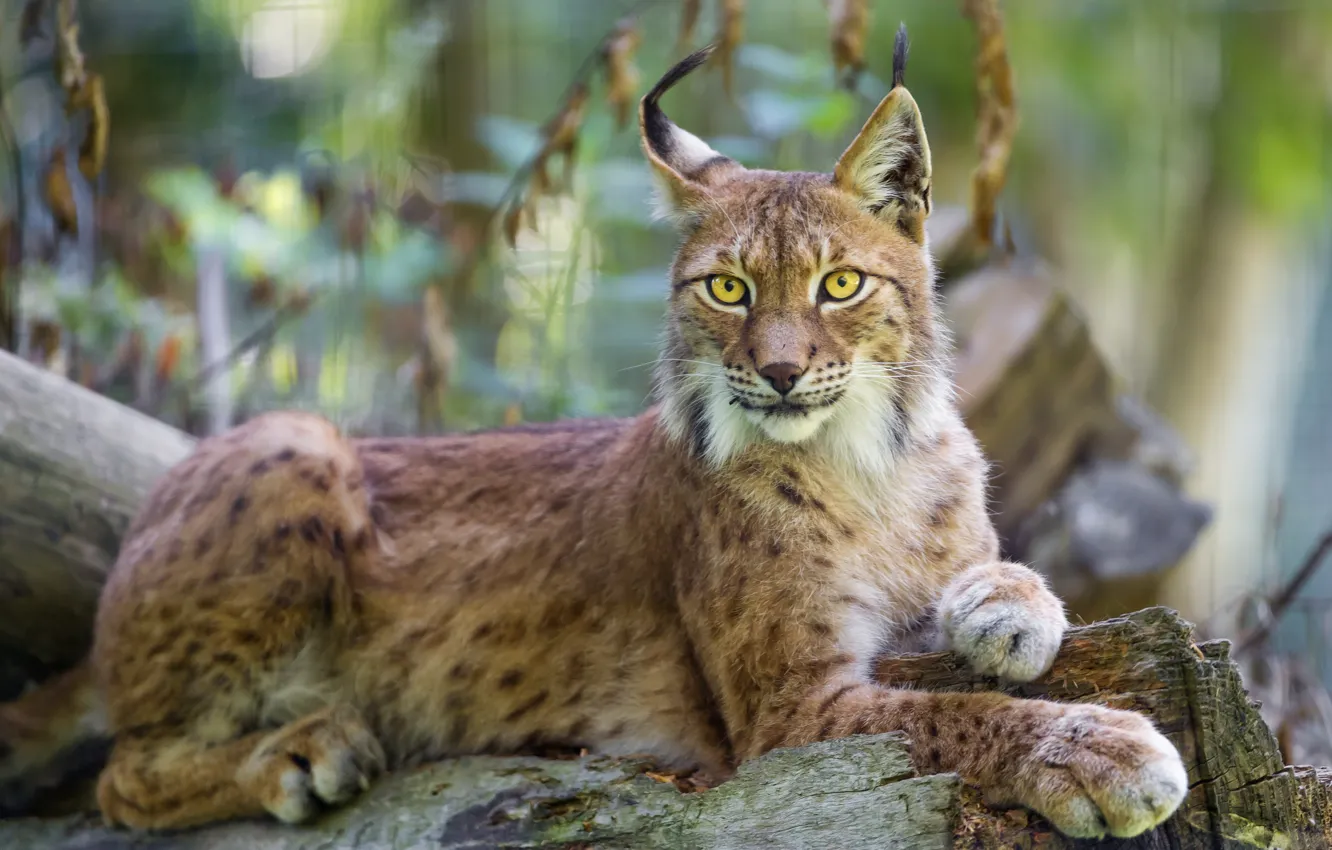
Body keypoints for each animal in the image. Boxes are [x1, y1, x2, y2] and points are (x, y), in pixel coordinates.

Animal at [0, 27, 1187, 840]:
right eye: (727, 288)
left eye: (840, 285)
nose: (780, 370)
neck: (863, 456)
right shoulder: (784, 716)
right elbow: (947, 719)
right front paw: (1097, 748)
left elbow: (1000, 569)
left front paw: (1008, 607)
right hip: (297, 437)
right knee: (116, 773)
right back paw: (297, 750)